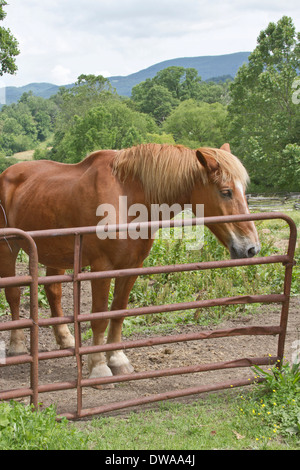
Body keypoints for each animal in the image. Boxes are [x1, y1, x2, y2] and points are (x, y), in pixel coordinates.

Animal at [0, 141, 260, 380]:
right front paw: (99, 367)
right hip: (9, 250)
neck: (127, 197)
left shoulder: (132, 267)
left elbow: (118, 313)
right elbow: (99, 317)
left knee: (53, 292)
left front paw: (117, 360)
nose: (251, 248)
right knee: (13, 295)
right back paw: (17, 345)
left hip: (54, 253)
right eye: (225, 191)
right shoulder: (101, 267)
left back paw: (66, 340)